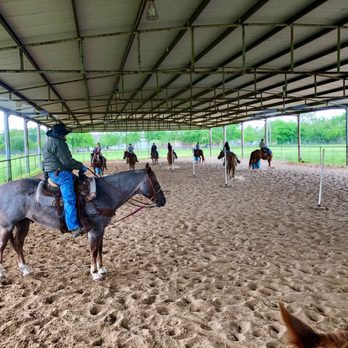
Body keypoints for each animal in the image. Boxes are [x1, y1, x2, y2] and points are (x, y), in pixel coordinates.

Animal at [0, 164, 165, 282]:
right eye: (155, 182)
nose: (163, 201)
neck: (105, 193)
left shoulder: (101, 229)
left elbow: (100, 248)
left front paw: (101, 268)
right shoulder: (94, 230)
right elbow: (93, 249)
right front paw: (95, 273)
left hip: (23, 223)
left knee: (18, 244)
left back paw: (25, 269)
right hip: (6, 227)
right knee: (2, 247)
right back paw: (2, 274)